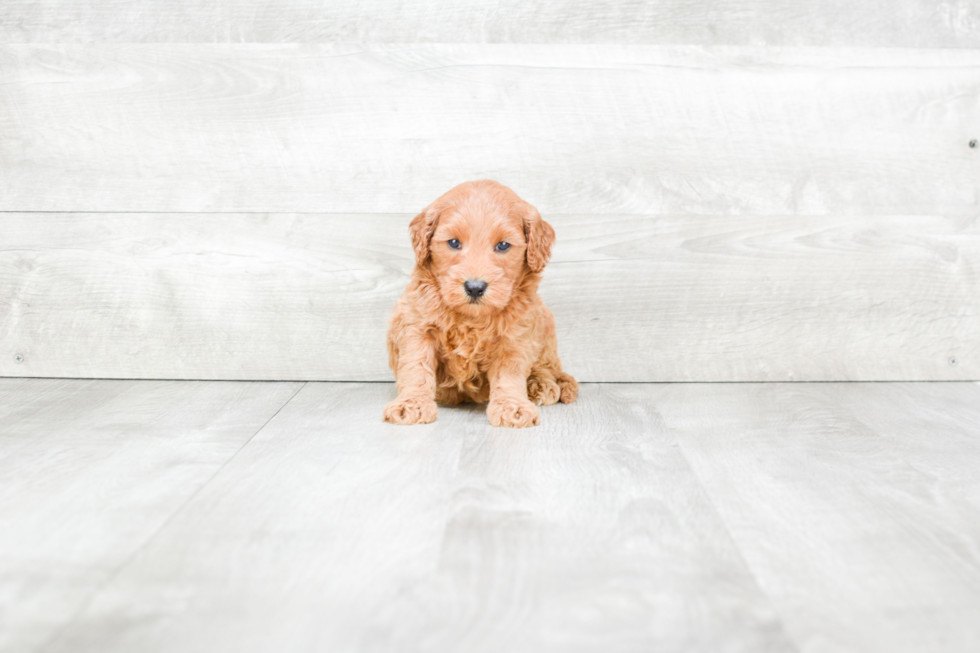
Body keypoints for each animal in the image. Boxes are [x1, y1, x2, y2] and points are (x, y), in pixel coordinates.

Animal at [380, 178, 576, 428]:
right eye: (454, 243)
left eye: (503, 246)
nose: (474, 287)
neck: (470, 317)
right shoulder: (417, 326)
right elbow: (416, 366)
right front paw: (412, 403)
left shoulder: (515, 335)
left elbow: (509, 373)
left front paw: (512, 406)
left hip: (545, 324)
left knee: (548, 367)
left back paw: (540, 384)